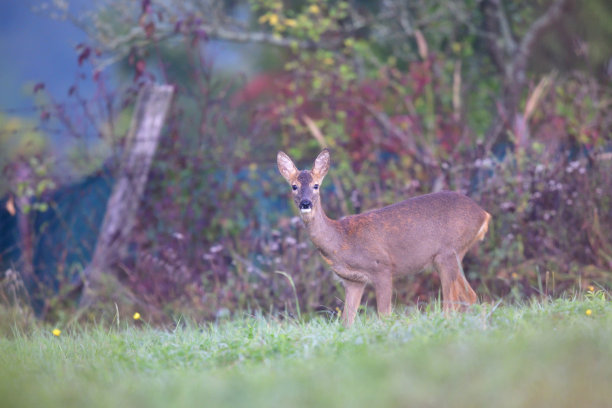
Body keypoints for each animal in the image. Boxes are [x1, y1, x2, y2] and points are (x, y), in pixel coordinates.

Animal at [280, 148, 490, 326]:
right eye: (294, 186)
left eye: (316, 185)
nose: (305, 203)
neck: (341, 240)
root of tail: (483, 214)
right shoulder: (353, 281)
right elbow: (347, 322)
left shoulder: (382, 267)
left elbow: (385, 316)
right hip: (454, 255)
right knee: (470, 297)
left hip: (447, 253)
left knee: (452, 304)